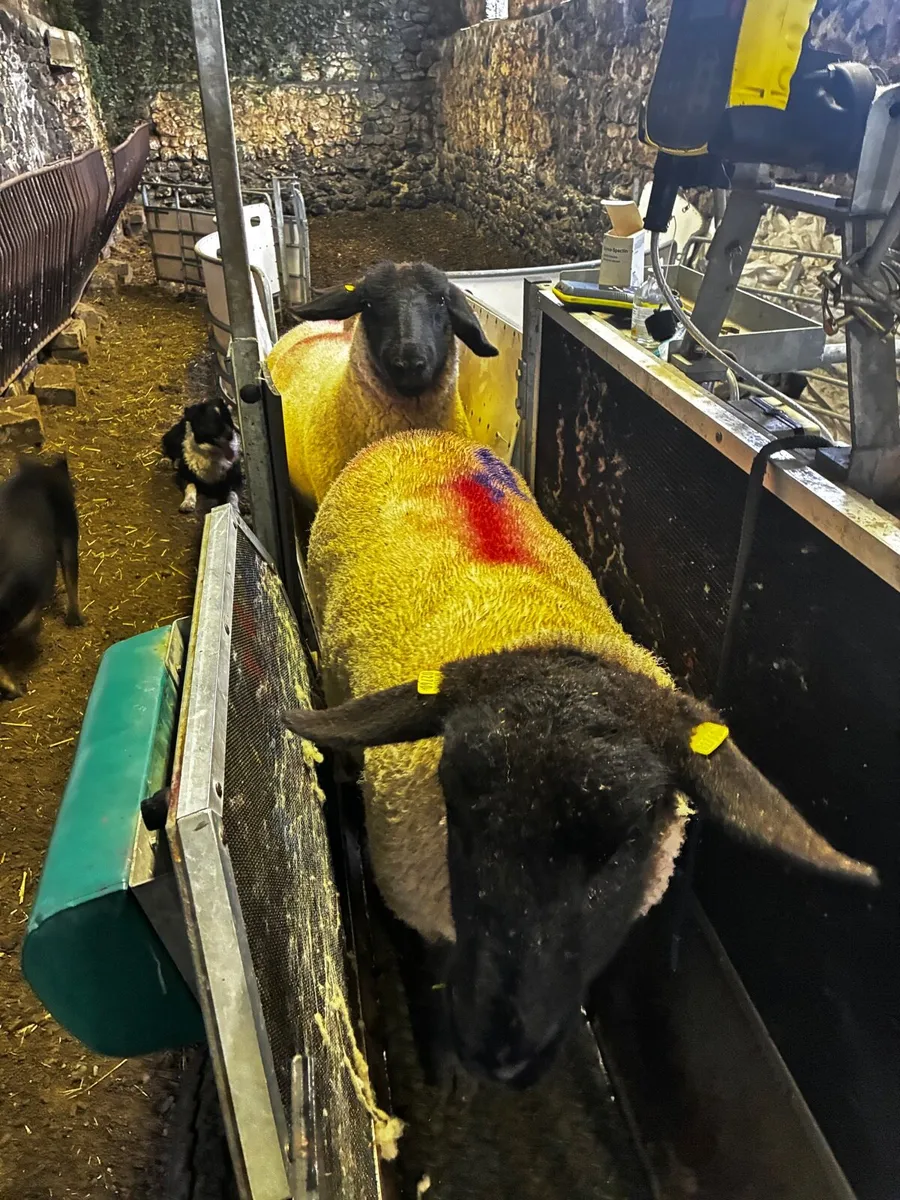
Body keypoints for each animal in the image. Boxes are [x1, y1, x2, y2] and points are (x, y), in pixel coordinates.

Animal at [285, 429, 877, 1090]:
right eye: (455, 806)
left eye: (625, 843)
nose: (498, 1056)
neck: (542, 639)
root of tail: (416, 435)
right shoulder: (420, 909)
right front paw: (447, 1071)